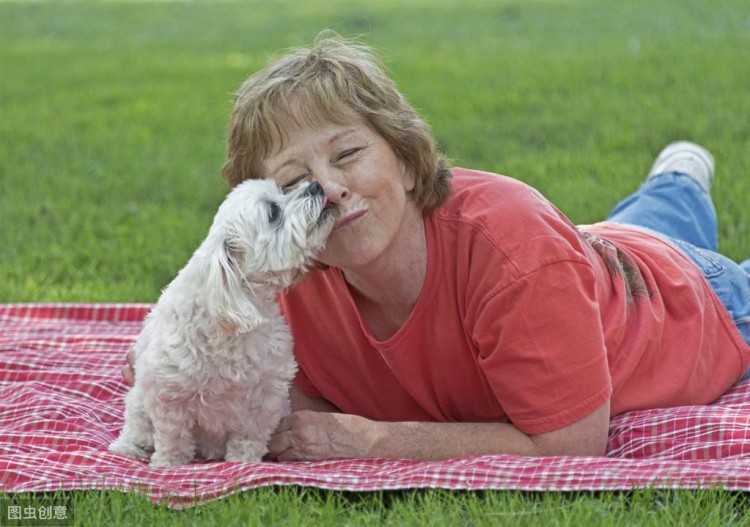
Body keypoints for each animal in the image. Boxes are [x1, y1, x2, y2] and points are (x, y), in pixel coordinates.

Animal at [108, 178, 334, 466]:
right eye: (273, 212)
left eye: (283, 190)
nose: (315, 185)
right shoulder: (168, 393)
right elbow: (173, 437)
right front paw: (168, 464)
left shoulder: (266, 395)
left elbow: (249, 437)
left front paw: (244, 462)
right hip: (139, 400)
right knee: (138, 424)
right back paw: (130, 447)